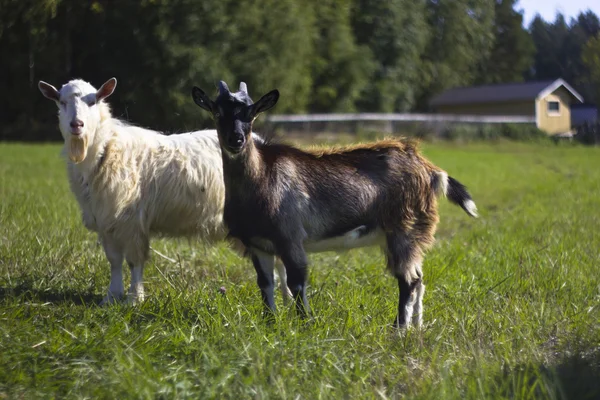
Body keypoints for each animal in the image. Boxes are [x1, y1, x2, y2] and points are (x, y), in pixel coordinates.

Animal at [37, 77, 290, 304]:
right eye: (61, 102)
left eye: (93, 101)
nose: (76, 125)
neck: (105, 147)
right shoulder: (106, 220)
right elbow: (114, 261)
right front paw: (111, 297)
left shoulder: (131, 220)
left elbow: (134, 261)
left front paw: (134, 299)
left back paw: (287, 298)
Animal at [190, 82, 476, 328]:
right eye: (217, 112)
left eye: (251, 114)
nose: (235, 139)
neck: (261, 177)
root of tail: (430, 170)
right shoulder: (257, 244)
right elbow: (265, 284)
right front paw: (270, 323)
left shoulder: (290, 237)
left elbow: (297, 283)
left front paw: (304, 325)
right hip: (410, 235)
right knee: (419, 279)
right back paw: (417, 327)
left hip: (404, 229)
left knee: (408, 281)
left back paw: (399, 330)